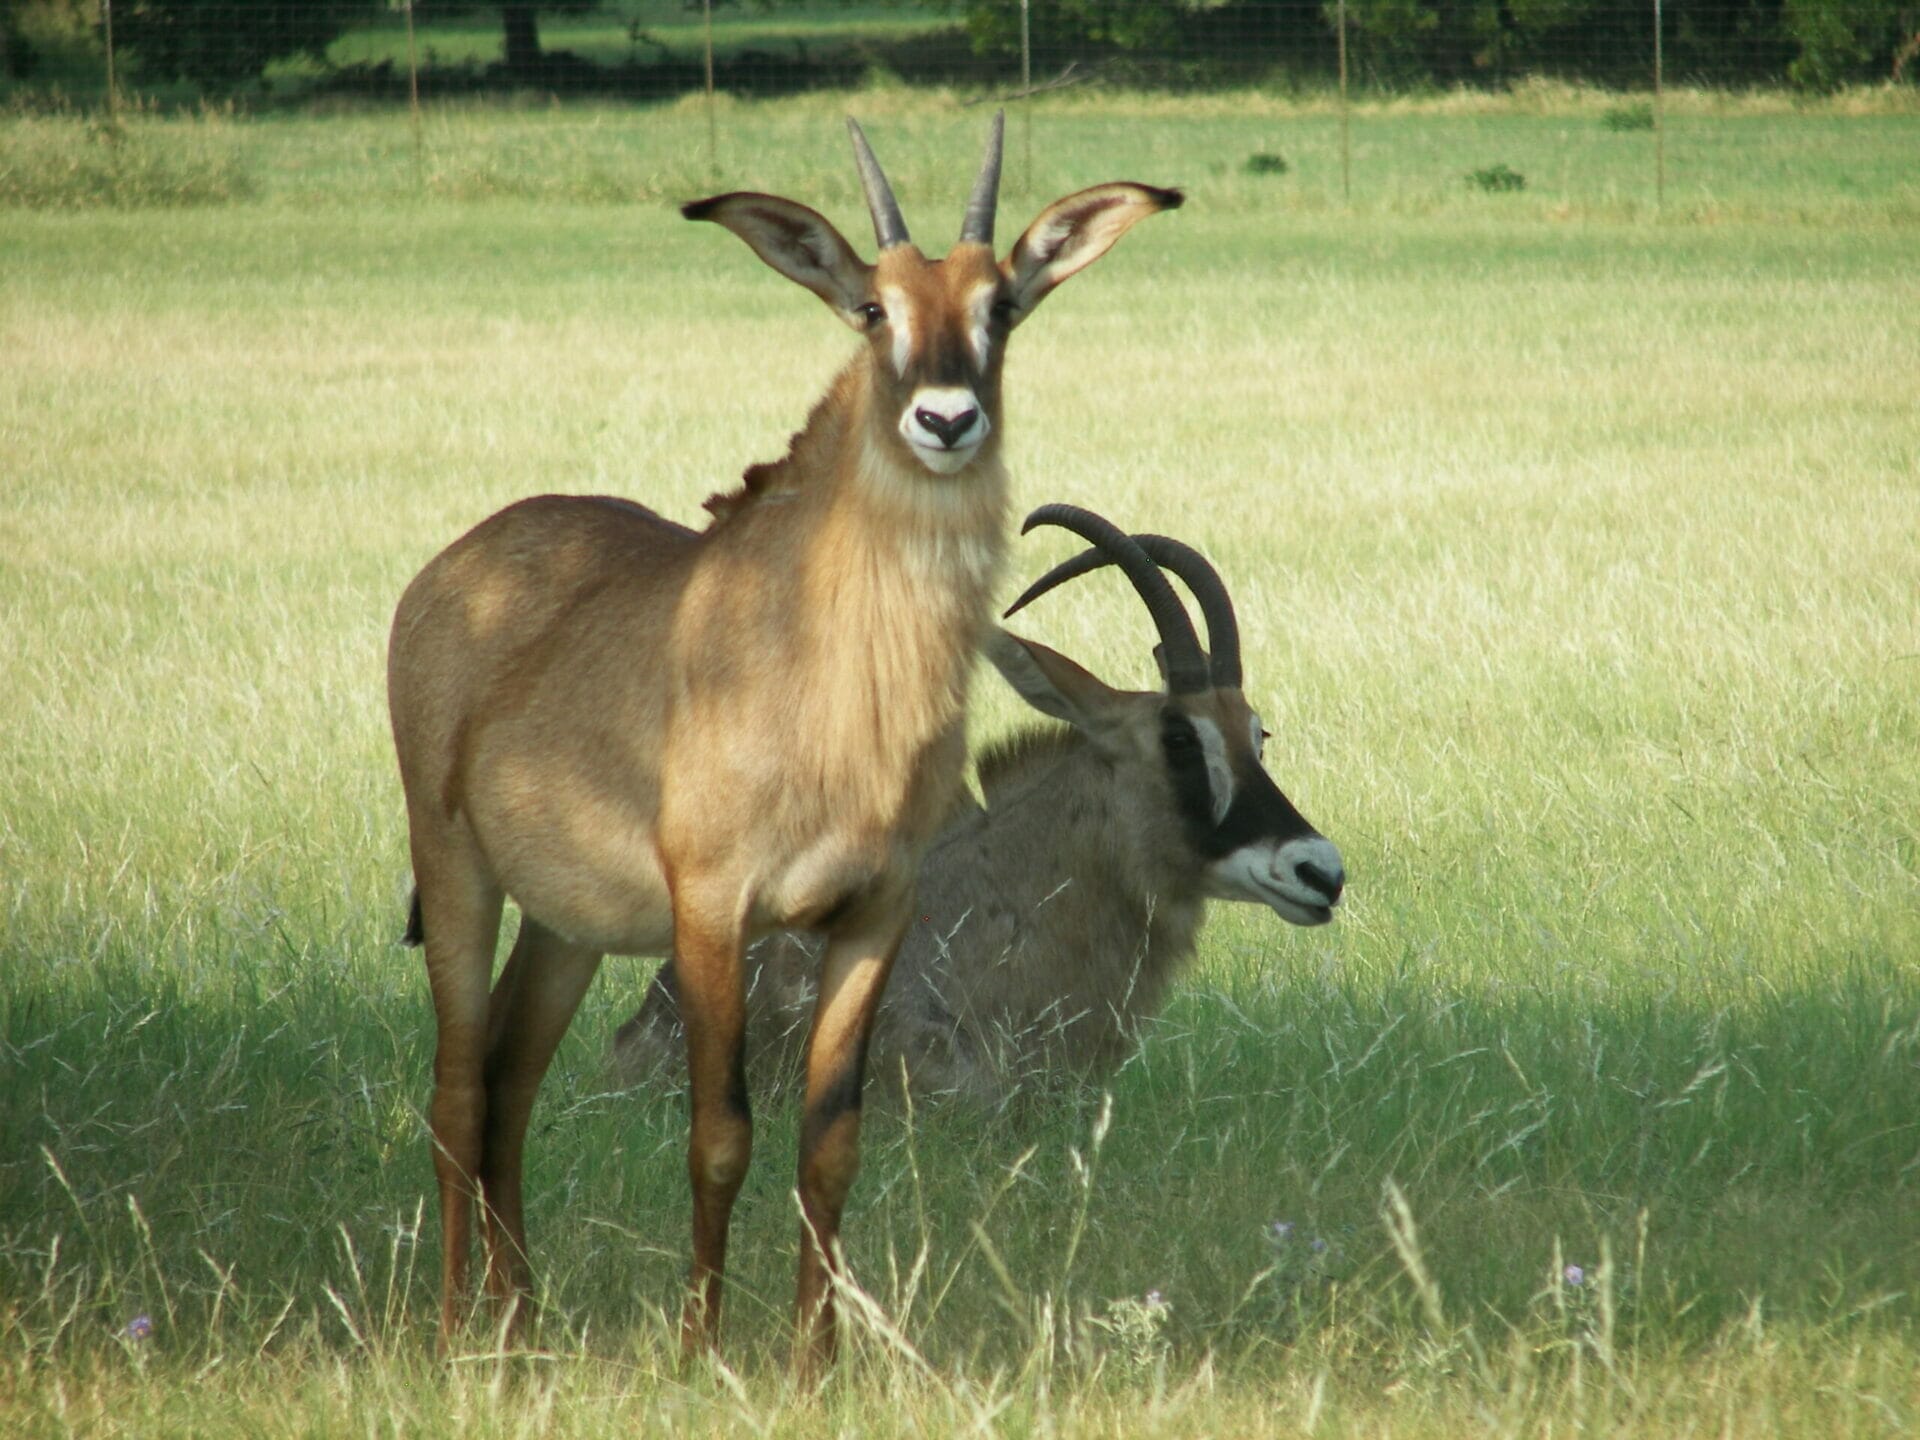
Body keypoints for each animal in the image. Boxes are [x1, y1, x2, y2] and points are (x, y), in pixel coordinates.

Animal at [382, 118, 1175, 1367]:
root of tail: (447, 571)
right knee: (459, 1088)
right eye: (871, 307)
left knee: (510, 1080)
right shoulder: (714, 910)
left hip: (566, 926)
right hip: (454, 866)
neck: (837, 685)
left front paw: (816, 1363)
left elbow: (830, 1143)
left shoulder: (872, 913)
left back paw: (524, 1320)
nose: (945, 420)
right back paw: (466, 1330)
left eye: (1002, 304)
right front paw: (701, 1351)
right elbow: (720, 1135)